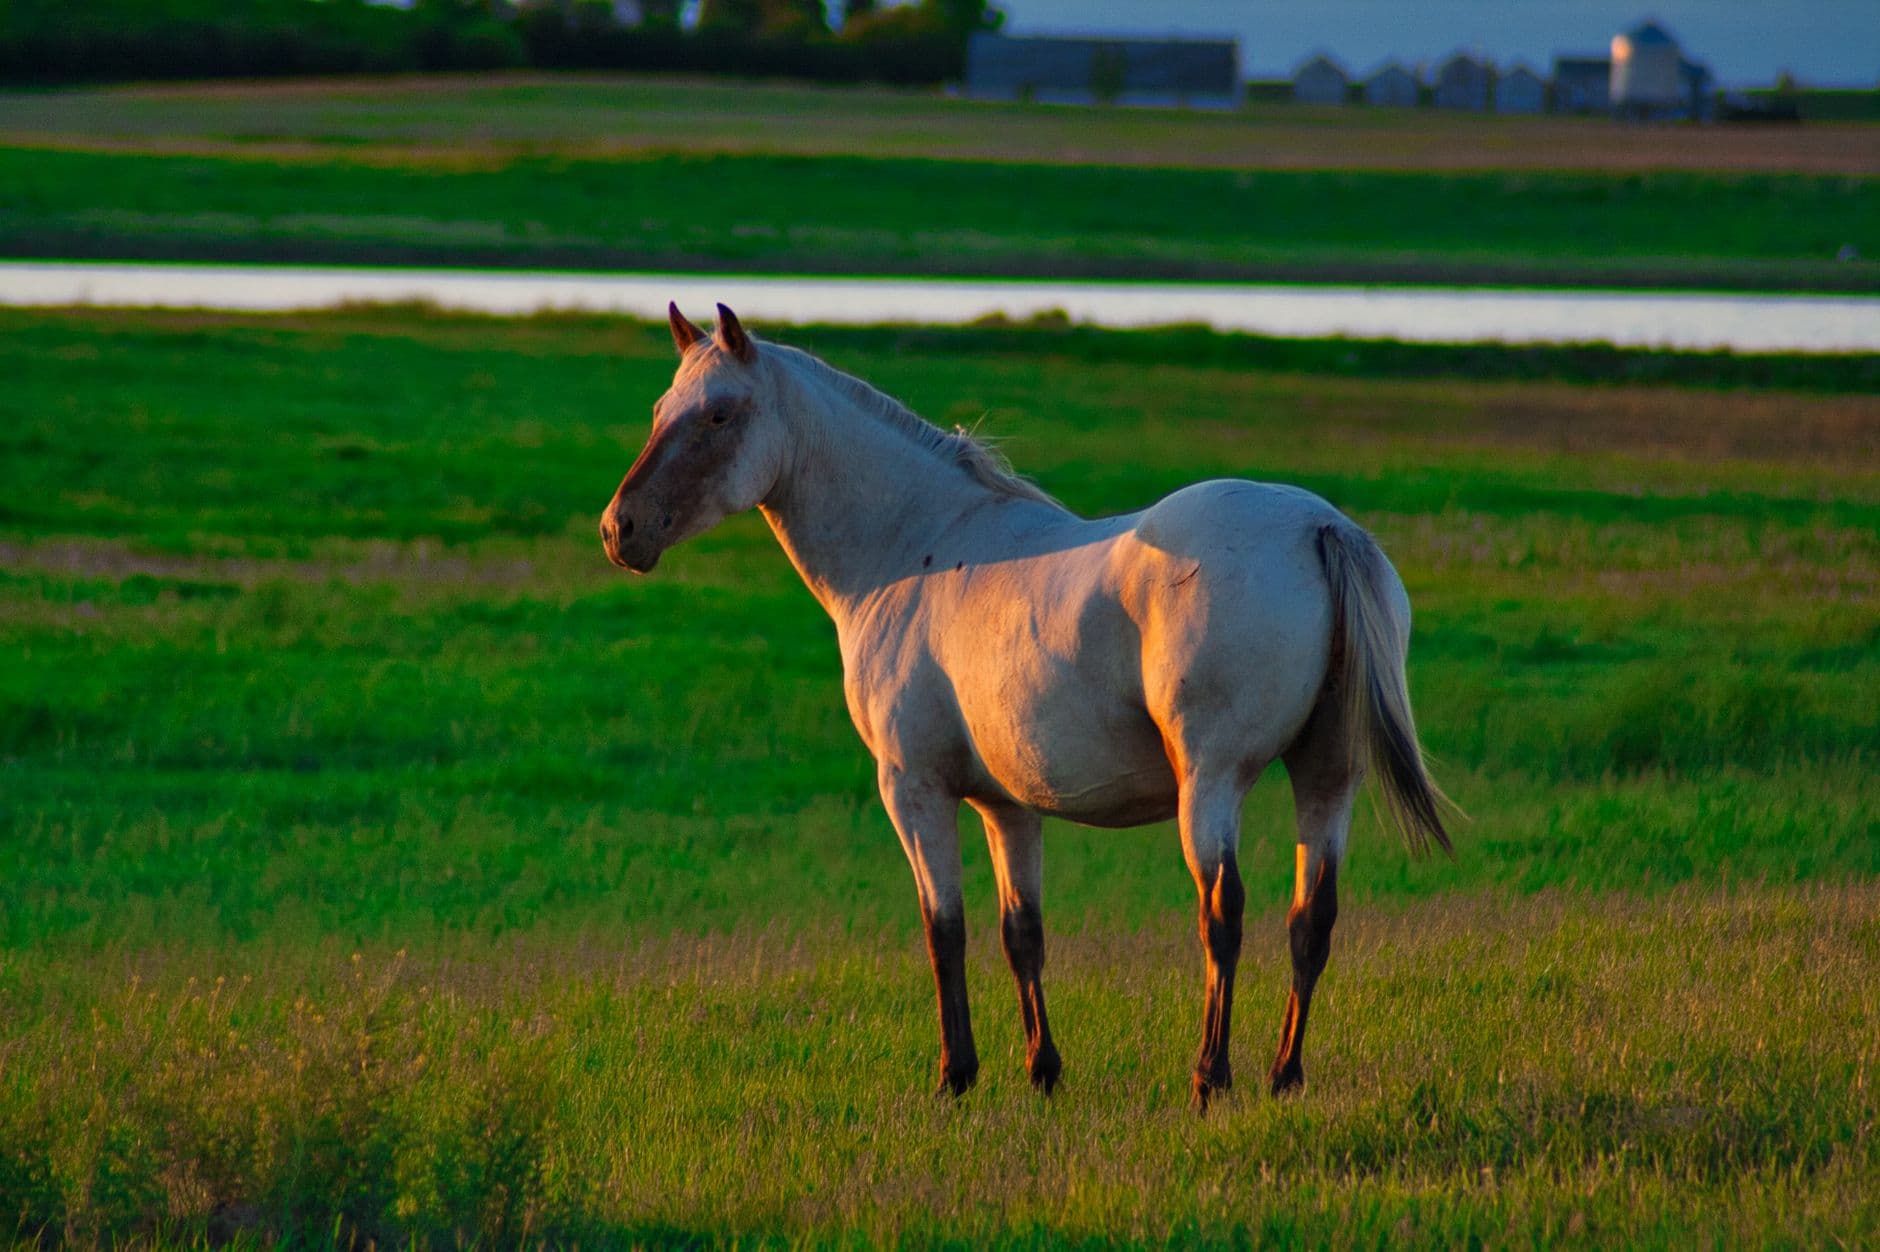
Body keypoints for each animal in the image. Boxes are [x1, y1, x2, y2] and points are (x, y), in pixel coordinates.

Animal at [601, 304, 1451, 1108]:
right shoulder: (1007, 806)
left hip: (1210, 785)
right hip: (1327, 778)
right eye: (662, 408)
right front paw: (1043, 1071)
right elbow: (1022, 933)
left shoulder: (913, 790)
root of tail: (1319, 525)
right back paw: (1283, 1075)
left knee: (1224, 914)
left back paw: (1211, 1076)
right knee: (1313, 919)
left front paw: (956, 1075)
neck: (910, 550)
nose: (620, 529)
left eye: (719, 414)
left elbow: (943, 929)